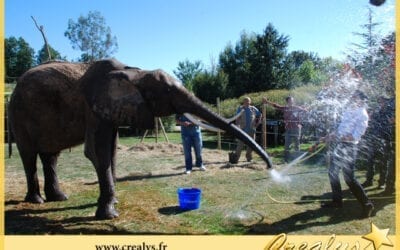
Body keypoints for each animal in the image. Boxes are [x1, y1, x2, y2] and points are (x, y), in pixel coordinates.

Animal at [7, 58, 274, 219]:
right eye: (166, 92)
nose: (270, 168)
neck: (134, 71)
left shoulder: (109, 111)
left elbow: (111, 151)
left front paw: (109, 204)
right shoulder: (92, 108)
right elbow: (97, 152)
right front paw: (108, 214)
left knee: (50, 156)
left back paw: (59, 198)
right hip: (18, 115)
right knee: (29, 155)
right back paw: (37, 201)